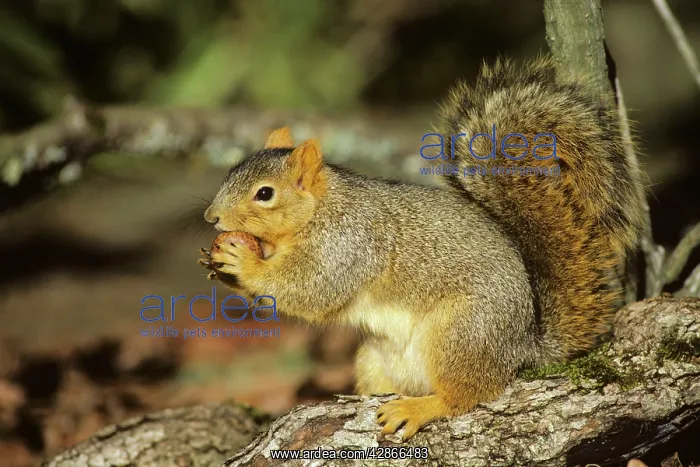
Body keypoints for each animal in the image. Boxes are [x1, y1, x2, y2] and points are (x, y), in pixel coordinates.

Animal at [199, 57, 646, 441]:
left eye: (265, 194)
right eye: (230, 172)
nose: (210, 217)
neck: (321, 210)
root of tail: (522, 345)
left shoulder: (348, 245)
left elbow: (310, 290)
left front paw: (243, 262)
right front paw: (219, 265)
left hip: (461, 333)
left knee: (466, 395)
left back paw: (419, 408)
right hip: (374, 359)